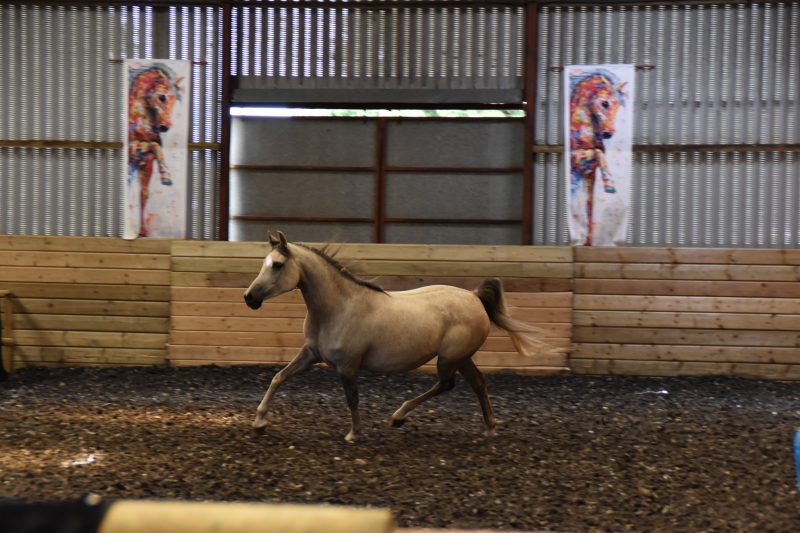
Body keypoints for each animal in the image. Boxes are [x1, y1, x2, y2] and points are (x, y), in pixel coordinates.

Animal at [127, 64, 184, 235]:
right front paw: (166, 176)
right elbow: (155, 145)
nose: (164, 127)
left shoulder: (147, 162)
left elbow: (143, 194)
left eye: (175, 99)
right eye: (162, 97)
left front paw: (142, 232)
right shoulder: (133, 150)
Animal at [244, 231, 552, 442]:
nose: (249, 298)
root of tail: (475, 297)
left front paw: (354, 433)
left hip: (449, 358)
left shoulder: (348, 366)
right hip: (462, 358)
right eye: (264, 262)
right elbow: (279, 377)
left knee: (446, 384)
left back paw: (398, 417)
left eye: (278, 265)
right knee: (477, 382)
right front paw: (259, 422)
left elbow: (352, 398)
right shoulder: (311, 354)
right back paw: (489, 428)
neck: (340, 307)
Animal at [564, 68, 628, 245]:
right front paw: (609, 184)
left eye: (618, 105)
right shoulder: (575, 160)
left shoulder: (589, 172)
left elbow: (589, 204)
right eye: (605, 103)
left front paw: (588, 242)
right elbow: (599, 153)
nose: (607, 134)